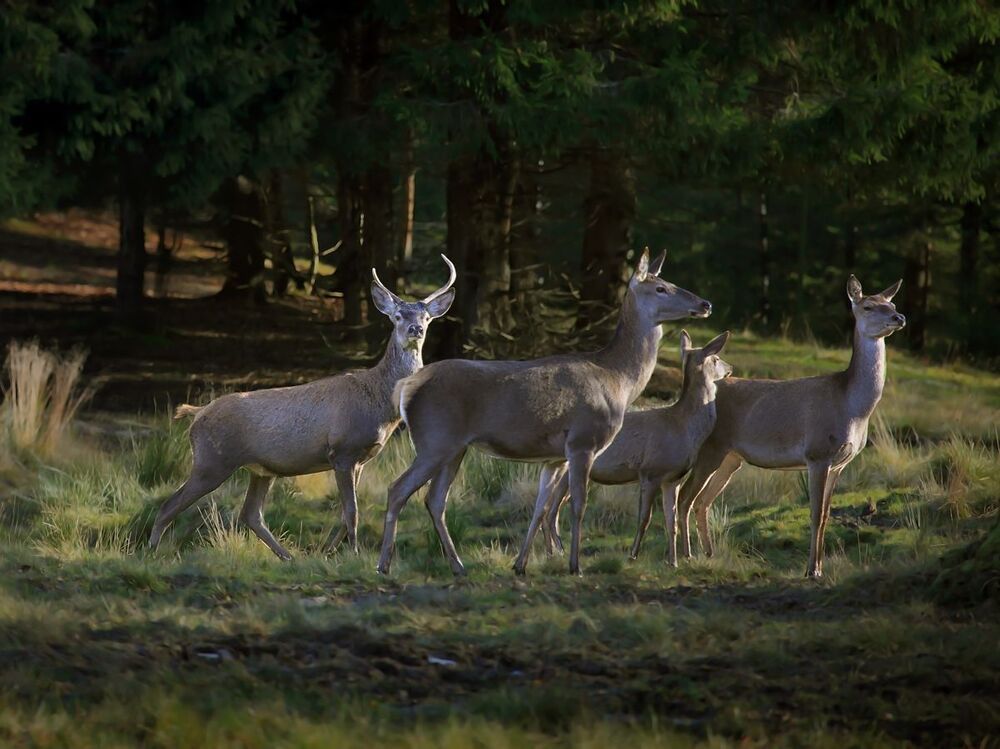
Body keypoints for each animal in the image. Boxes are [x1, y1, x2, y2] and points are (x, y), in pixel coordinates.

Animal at [147, 256, 457, 559]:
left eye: (426, 318)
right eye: (397, 316)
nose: (416, 330)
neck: (379, 401)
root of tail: (197, 414)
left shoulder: (361, 459)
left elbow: (345, 514)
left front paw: (329, 552)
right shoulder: (342, 451)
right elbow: (352, 511)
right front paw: (354, 554)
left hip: (260, 469)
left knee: (251, 514)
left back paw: (288, 557)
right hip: (212, 460)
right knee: (169, 505)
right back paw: (151, 552)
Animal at [519, 330, 733, 571]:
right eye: (716, 358)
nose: (731, 368)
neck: (681, 427)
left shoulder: (673, 478)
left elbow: (671, 522)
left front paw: (673, 562)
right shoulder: (650, 470)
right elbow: (645, 519)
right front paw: (633, 555)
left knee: (549, 510)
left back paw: (552, 554)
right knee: (551, 512)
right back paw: (558, 553)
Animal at [674, 275, 906, 578]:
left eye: (892, 303)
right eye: (868, 306)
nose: (899, 318)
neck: (852, 407)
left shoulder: (840, 463)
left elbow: (826, 515)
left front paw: (819, 567)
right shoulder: (817, 453)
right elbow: (815, 513)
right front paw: (811, 570)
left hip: (731, 458)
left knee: (702, 501)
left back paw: (709, 554)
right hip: (709, 448)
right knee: (685, 497)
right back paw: (686, 556)